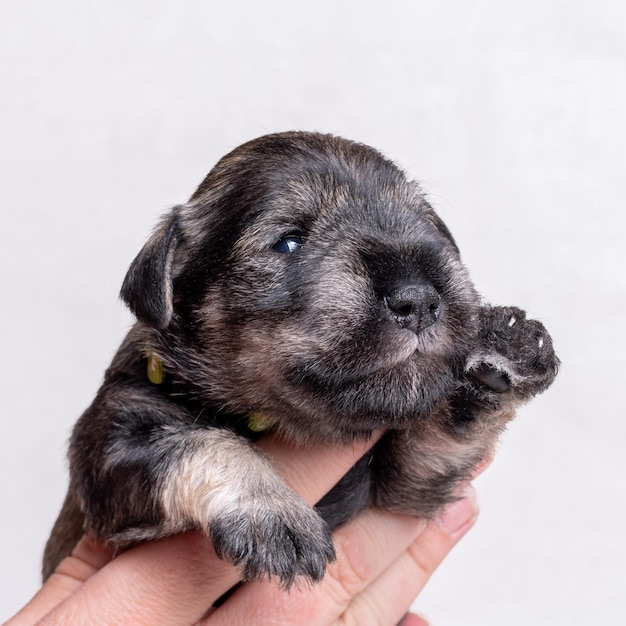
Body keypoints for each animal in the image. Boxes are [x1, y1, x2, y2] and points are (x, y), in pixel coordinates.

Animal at [45, 132, 560, 584]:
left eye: (427, 226)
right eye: (288, 242)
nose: (418, 300)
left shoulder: (402, 488)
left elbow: (439, 436)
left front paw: (503, 352)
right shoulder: (110, 442)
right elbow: (200, 441)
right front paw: (272, 511)